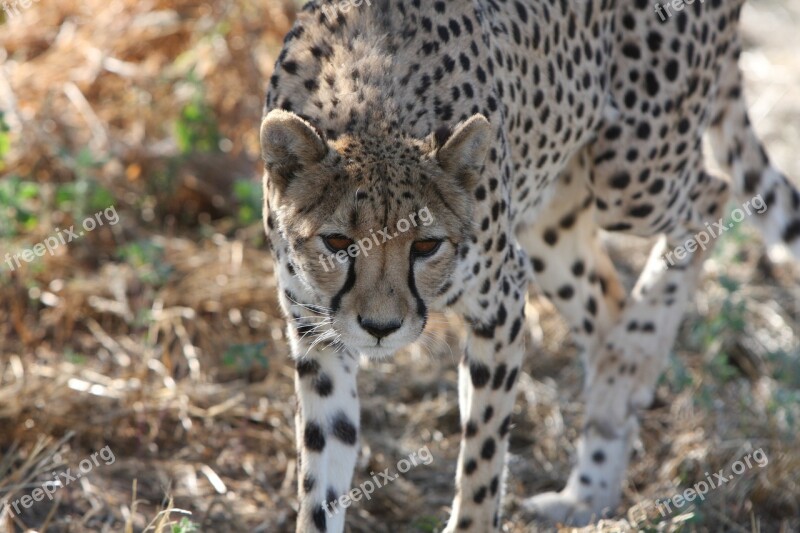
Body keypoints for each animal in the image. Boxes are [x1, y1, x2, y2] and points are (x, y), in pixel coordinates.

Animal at [260, 0, 800, 528]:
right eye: (337, 242)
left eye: (426, 246)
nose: (380, 328)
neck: (375, 108)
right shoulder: (317, 335)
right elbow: (322, 477)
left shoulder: (499, 302)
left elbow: (482, 457)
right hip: (550, 218)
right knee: (607, 301)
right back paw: (591, 479)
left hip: (630, 171)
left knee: (710, 196)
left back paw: (629, 360)